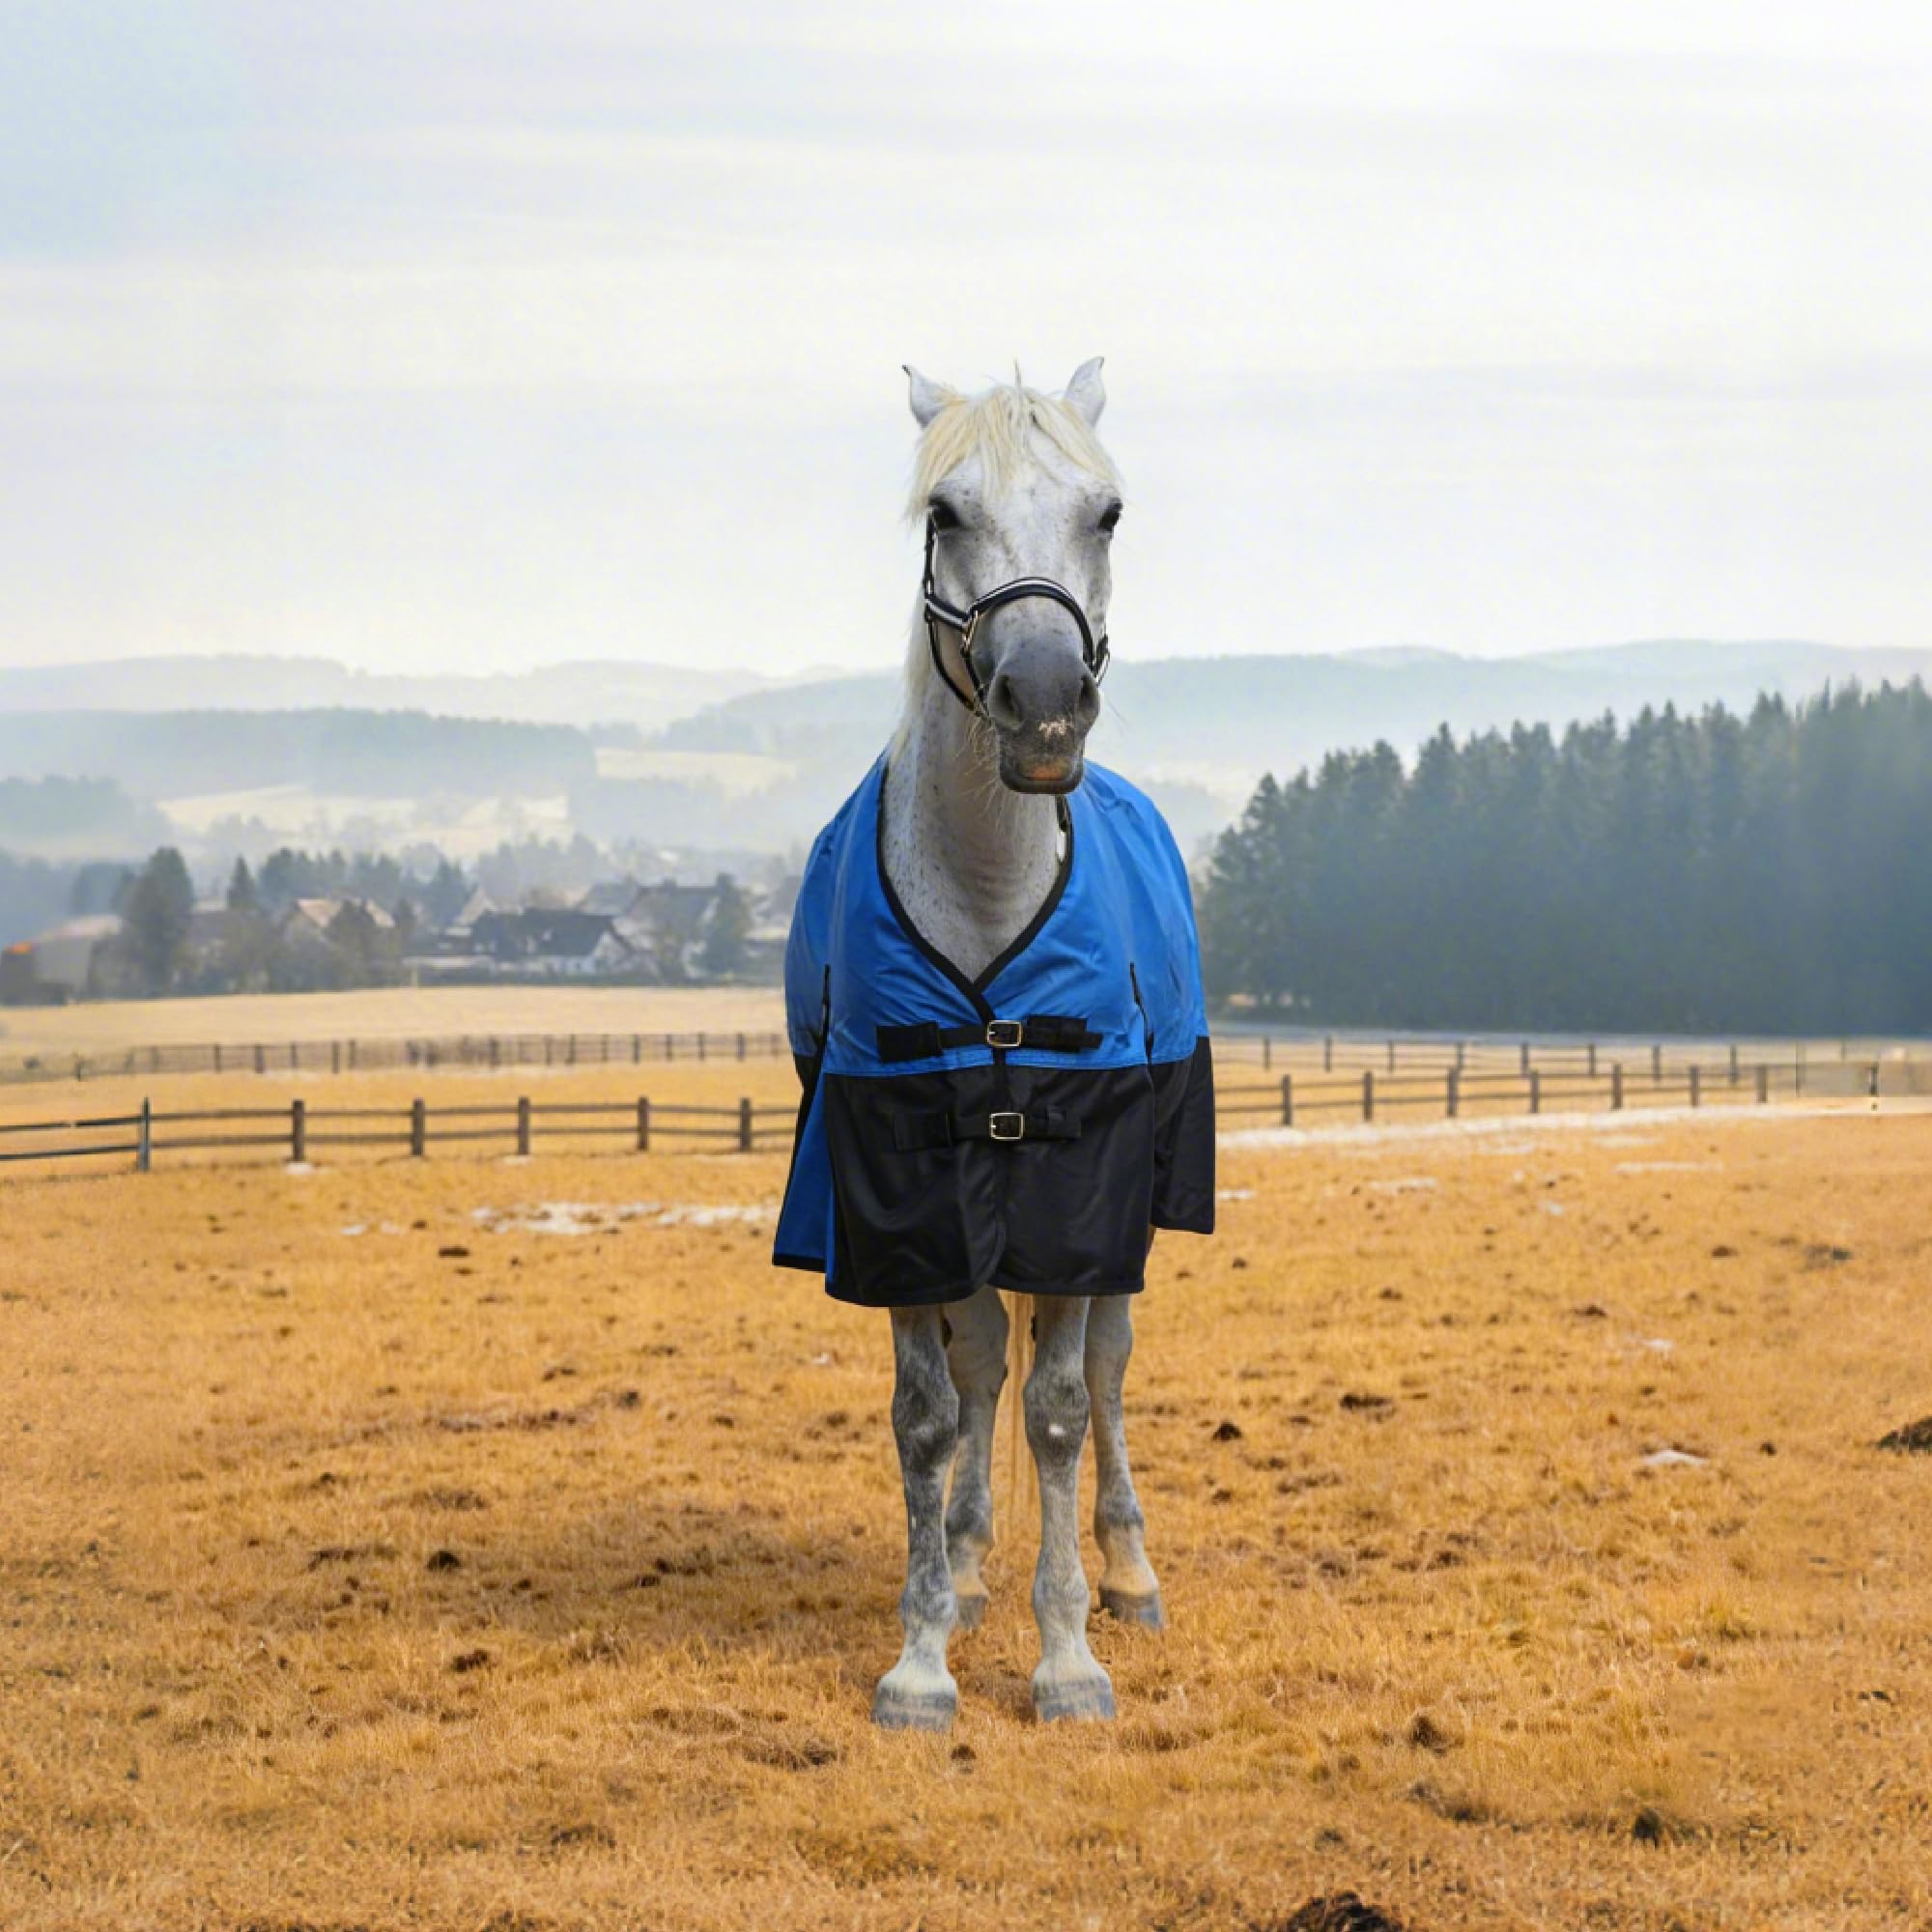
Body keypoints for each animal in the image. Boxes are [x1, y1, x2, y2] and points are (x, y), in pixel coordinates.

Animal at [772, 361, 1216, 1728]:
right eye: (945, 511)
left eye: (1107, 511)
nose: (1043, 704)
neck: (981, 886)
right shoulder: (887, 1187)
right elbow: (929, 1412)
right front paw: (922, 1655)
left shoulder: (1081, 1187)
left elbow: (1064, 1409)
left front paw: (1067, 1656)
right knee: (977, 1368)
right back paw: (967, 1565)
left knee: (1109, 1369)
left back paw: (1128, 1572)